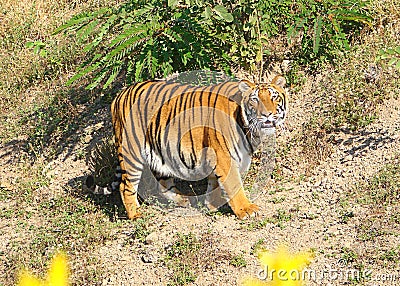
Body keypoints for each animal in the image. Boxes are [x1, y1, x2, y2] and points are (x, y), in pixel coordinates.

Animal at [109, 75, 288, 220]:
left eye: (274, 97)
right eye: (255, 99)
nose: (267, 114)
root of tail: (119, 95)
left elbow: (216, 183)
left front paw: (212, 204)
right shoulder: (224, 156)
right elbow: (233, 184)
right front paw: (246, 209)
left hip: (159, 153)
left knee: (163, 184)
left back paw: (184, 200)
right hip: (131, 153)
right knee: (125, 186)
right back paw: (136, 215)